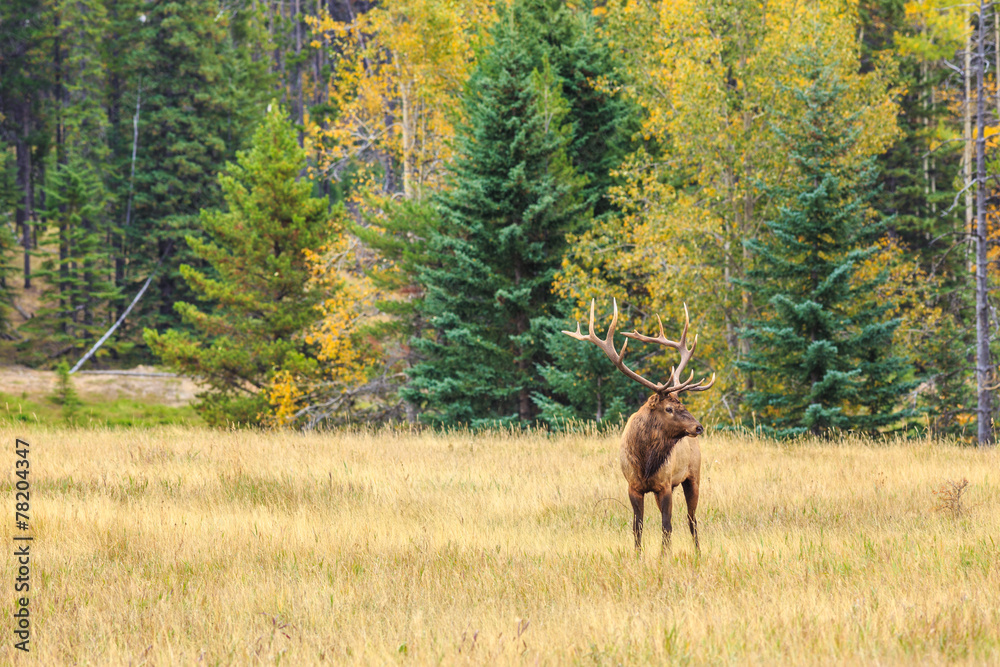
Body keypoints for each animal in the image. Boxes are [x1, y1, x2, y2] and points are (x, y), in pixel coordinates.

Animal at [564, 299, 715, 554]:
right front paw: (638, 556)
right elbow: (637, 528)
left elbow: (666, 526)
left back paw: (698, 553)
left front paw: (664, 557)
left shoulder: (664, 484)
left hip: (693, 475)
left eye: (682, 403)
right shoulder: (633, 486)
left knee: (691, 519)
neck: (645, 461)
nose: (698, 427)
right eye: (669, 408)